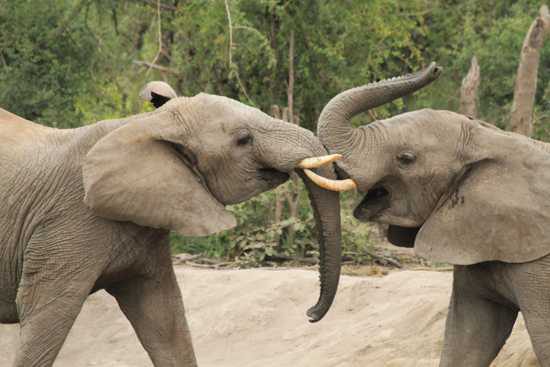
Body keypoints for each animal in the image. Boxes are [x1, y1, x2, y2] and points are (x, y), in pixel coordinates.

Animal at [0, 87, 342, 367]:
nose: (310, 314)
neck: (148, 123)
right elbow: (46, 315)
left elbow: (163, 318)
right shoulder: (67, 222)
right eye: (243, 139)